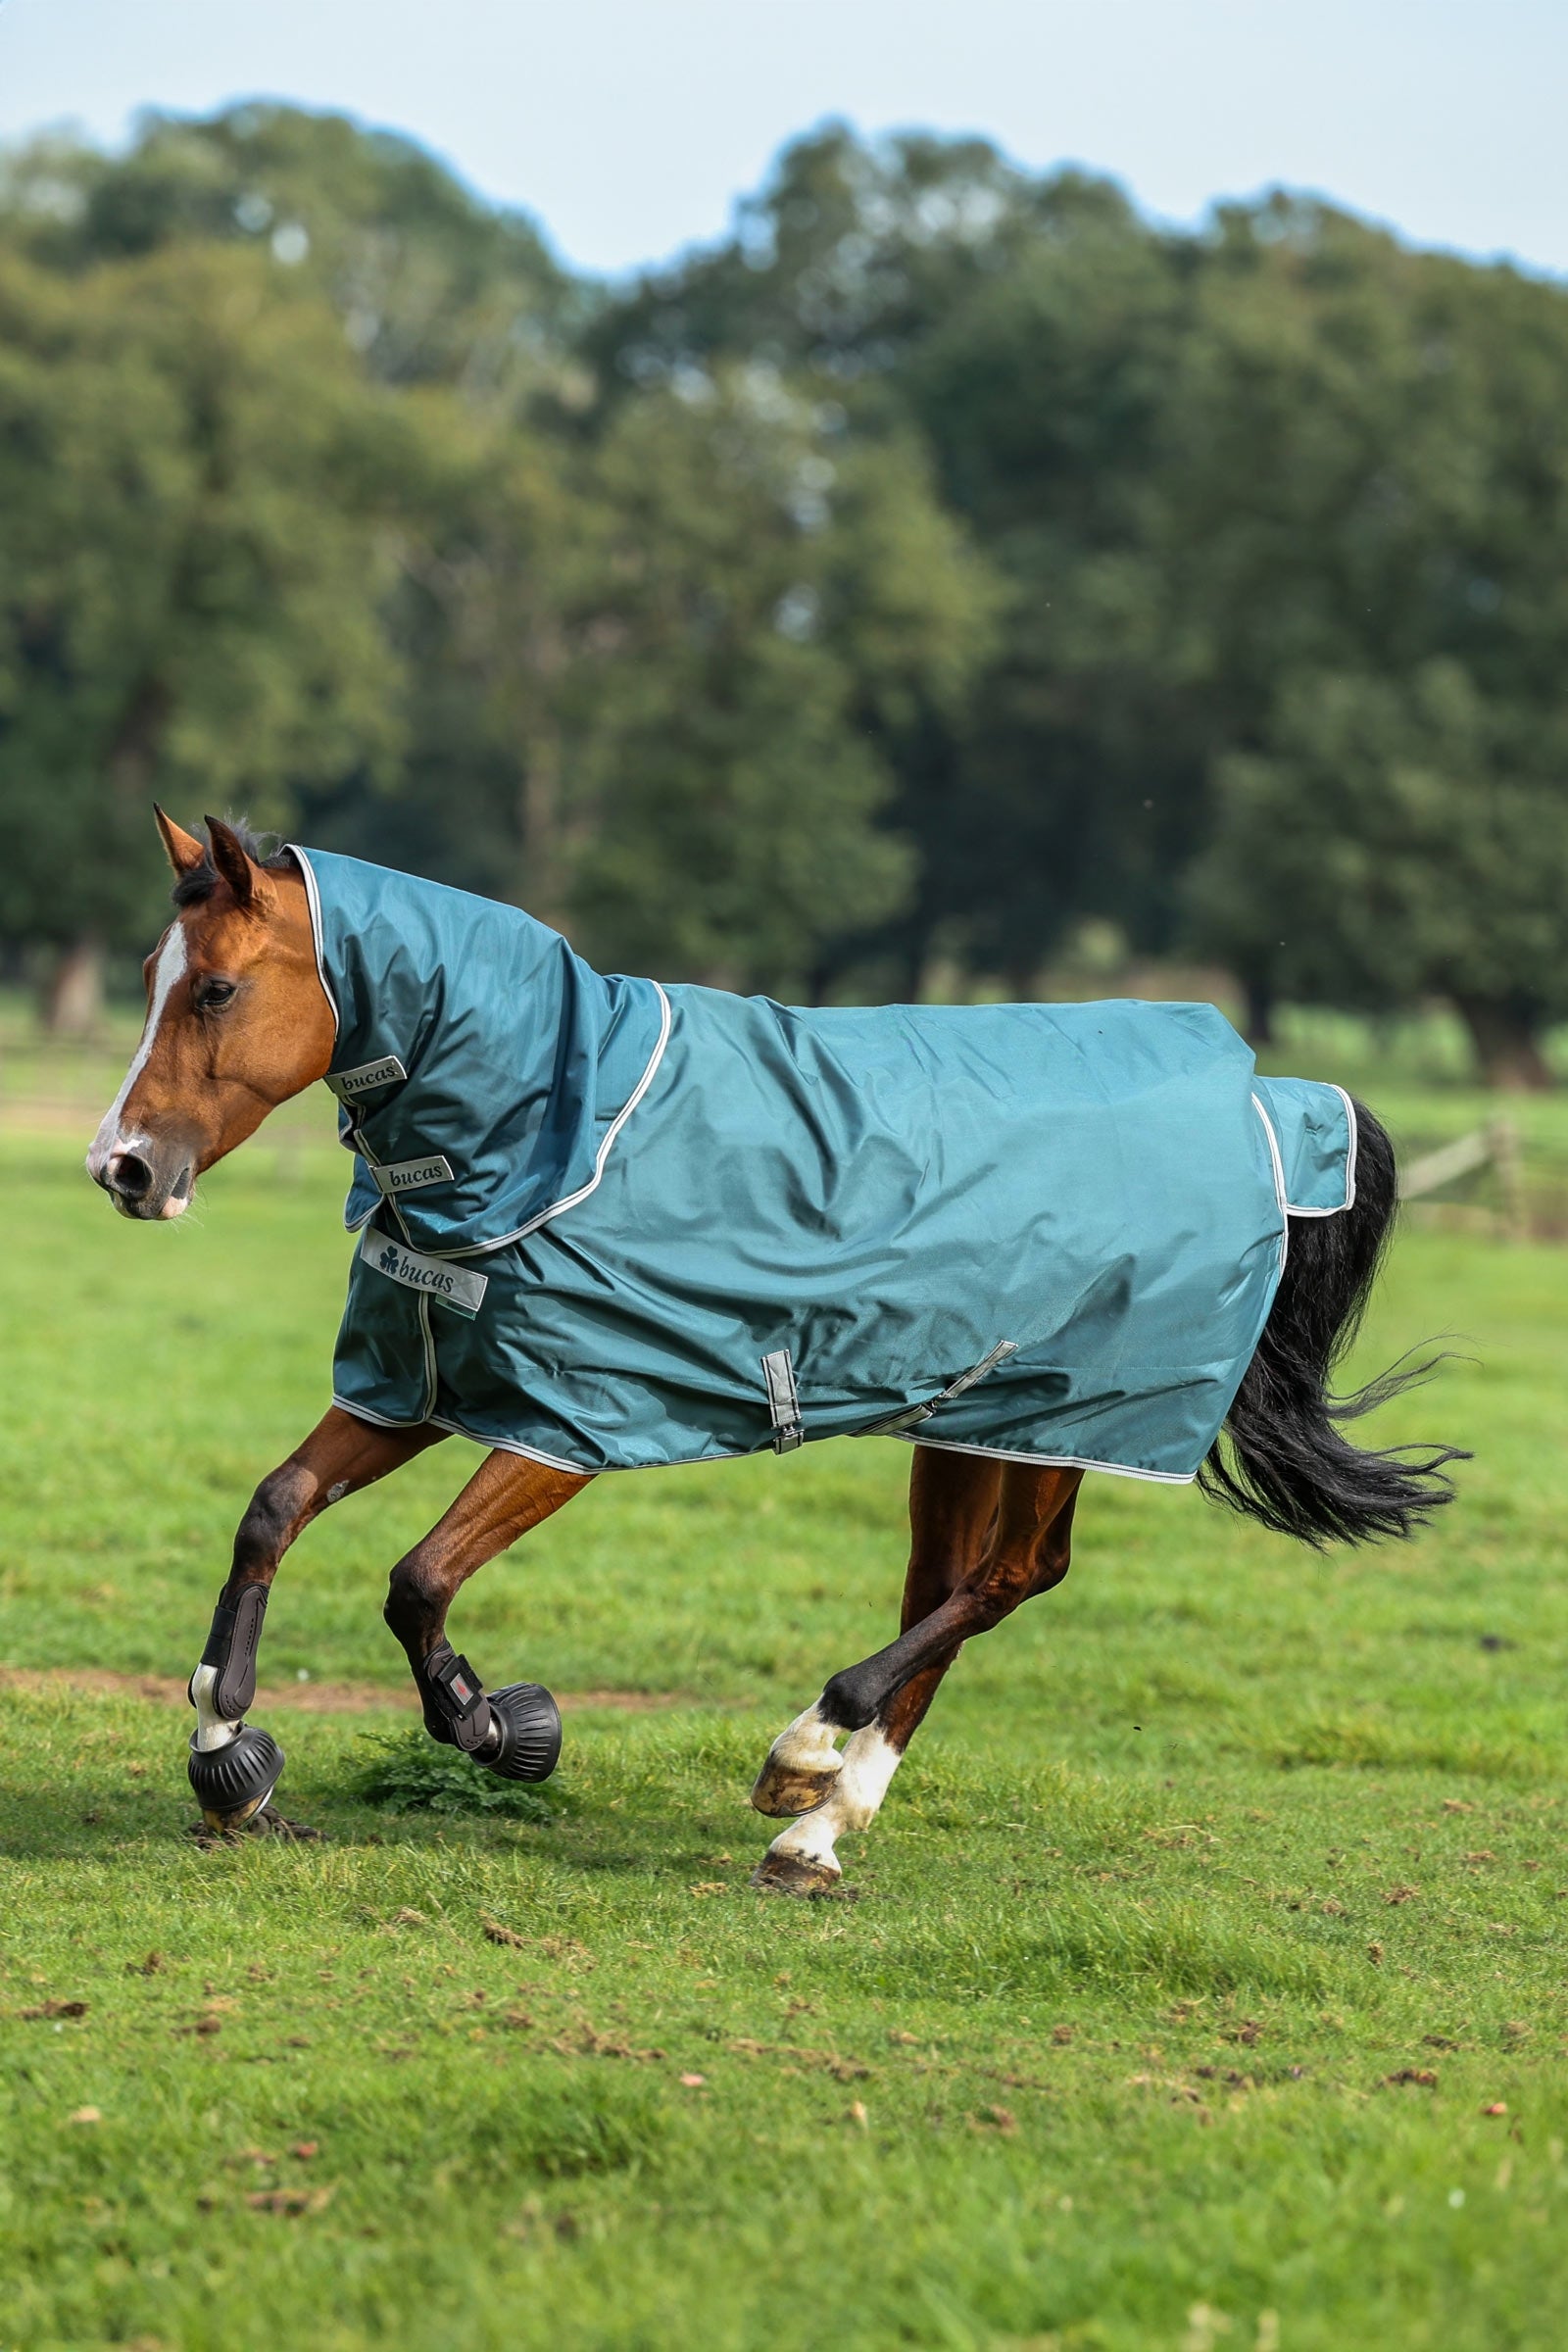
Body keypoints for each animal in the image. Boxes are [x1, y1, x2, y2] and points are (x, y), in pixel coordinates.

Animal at [86, 811, 1463, 1891]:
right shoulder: (418, 1386)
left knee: (1012, 1579)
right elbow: (274, 1510)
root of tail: (1267, 1100)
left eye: (215, 989)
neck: (551, 1128)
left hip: (1074, 1415)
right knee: (946, 1588)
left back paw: (810, 1754)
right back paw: (815, 1823)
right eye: (150, 974)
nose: (122, 1169)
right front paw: (228, 1752)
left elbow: (416, 1581)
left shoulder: (565, 1425)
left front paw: (497, 1726)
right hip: (968, 1417)